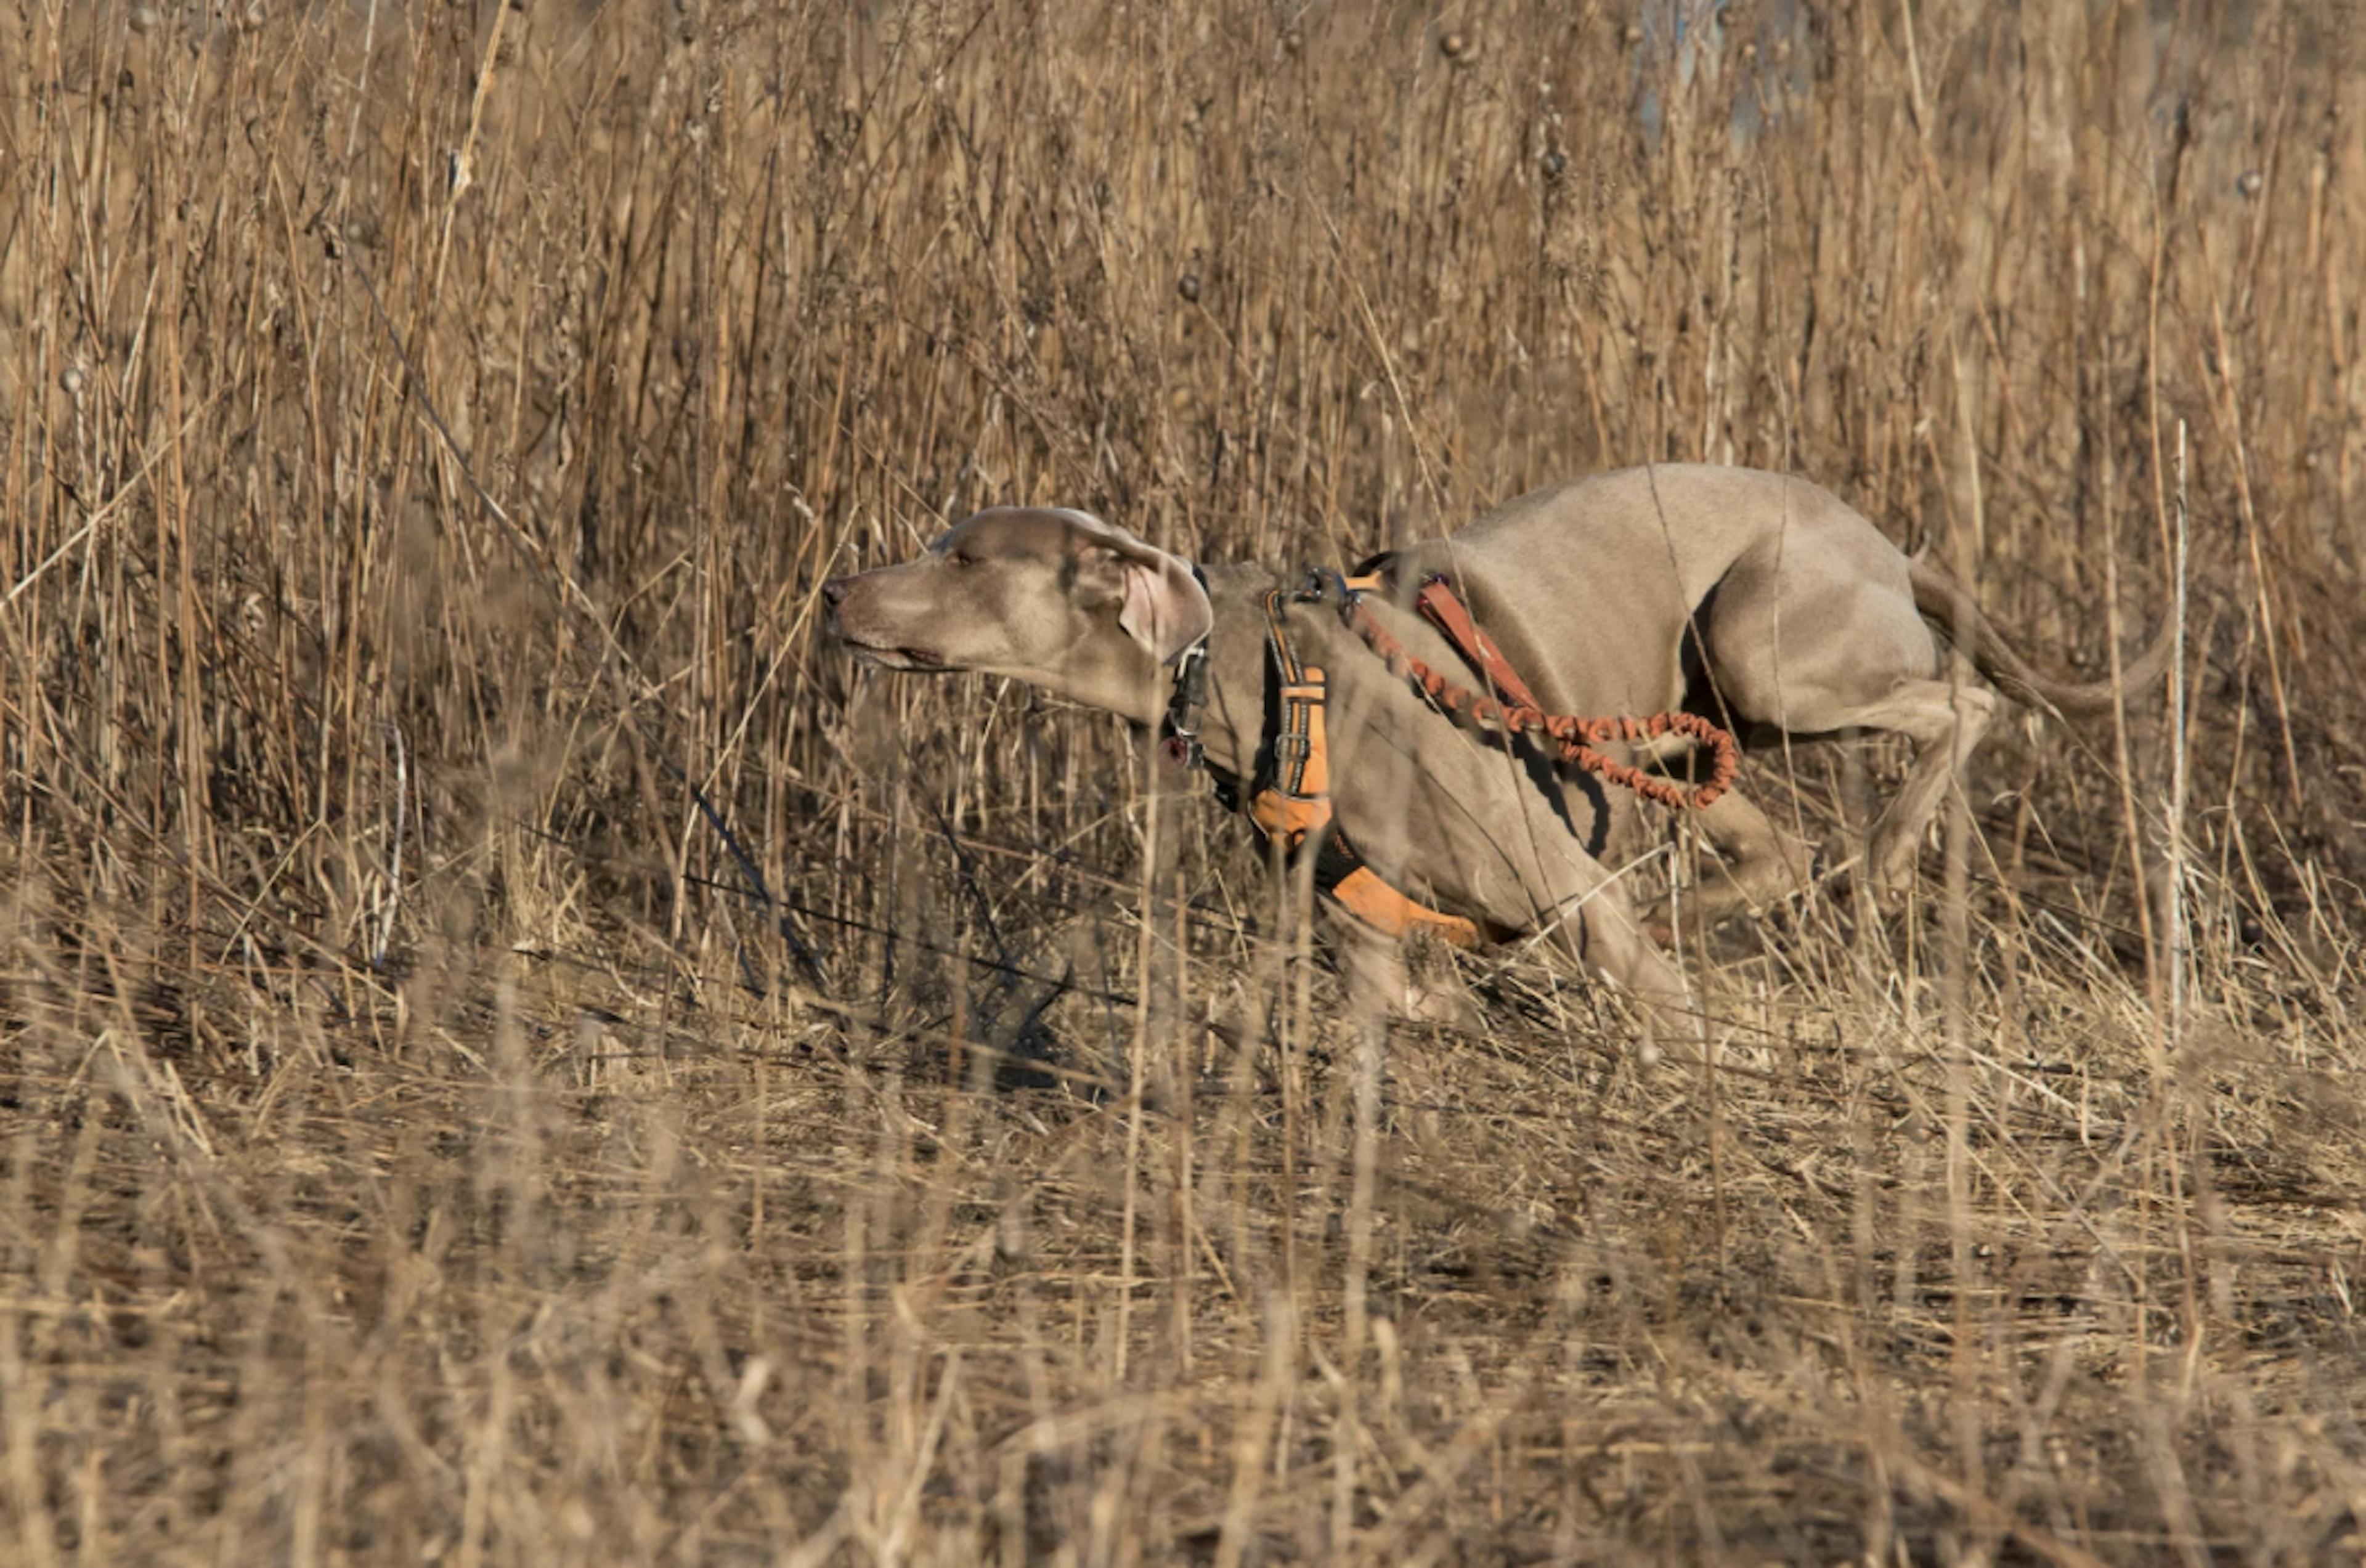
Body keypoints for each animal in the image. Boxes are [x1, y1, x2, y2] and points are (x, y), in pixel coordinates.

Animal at [823, 466, 2167, 1031]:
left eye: (961, 554)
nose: (835, 589)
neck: (1273, 673)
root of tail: (1886, 541)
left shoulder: (1554, 881)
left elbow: (1658, 1007)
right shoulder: (1368, 938)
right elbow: (1403, 1010)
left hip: (1762, 646)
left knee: (1965, 706)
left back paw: (1884, 861)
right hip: (1685, 733)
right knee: (1765, 843)